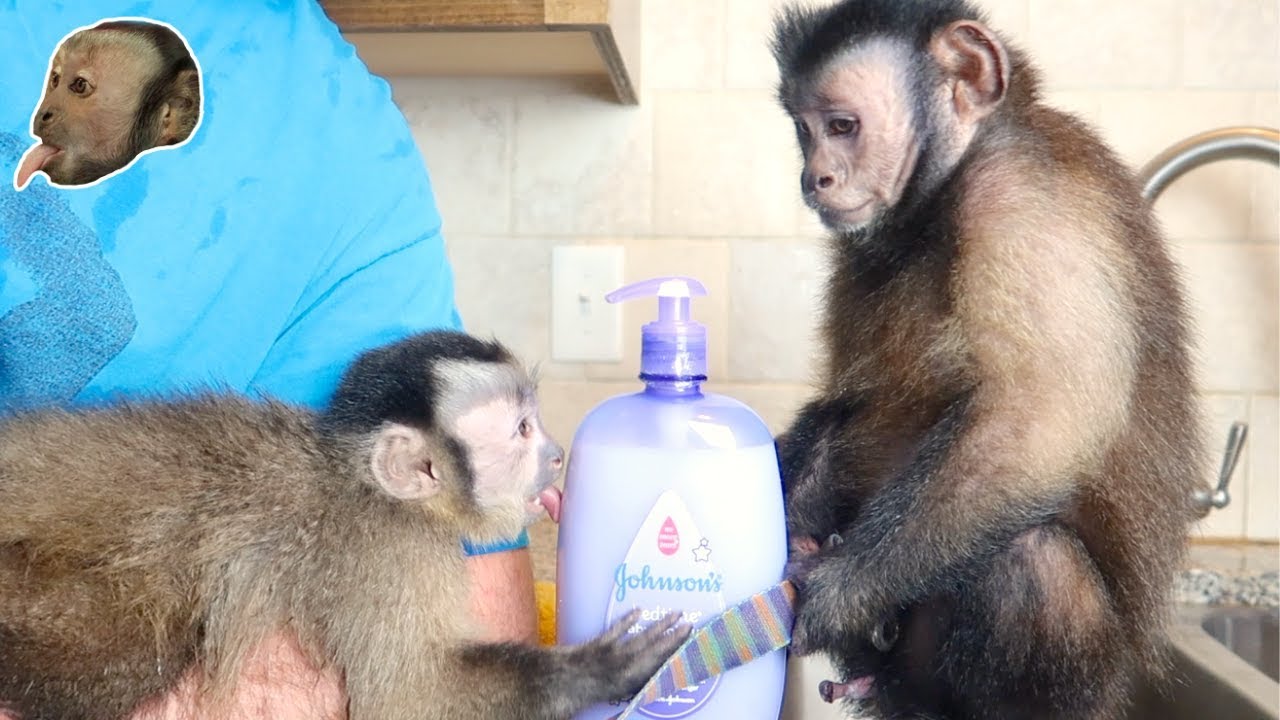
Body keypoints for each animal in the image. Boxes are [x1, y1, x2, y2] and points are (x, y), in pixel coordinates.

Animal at [0, 330, 691, 720]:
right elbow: (408, 699)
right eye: (522, 430)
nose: (556, 454)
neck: (364, 480)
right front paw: (603, 670)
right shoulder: (390, 552)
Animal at [766, 1, 1206, 718]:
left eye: (842, 127)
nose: (814, 178)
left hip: (1084, 682)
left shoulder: (1021, 197)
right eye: (804, 132)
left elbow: (1040, 417)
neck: (942, 193)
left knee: (1029, 559)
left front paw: (838, 596)